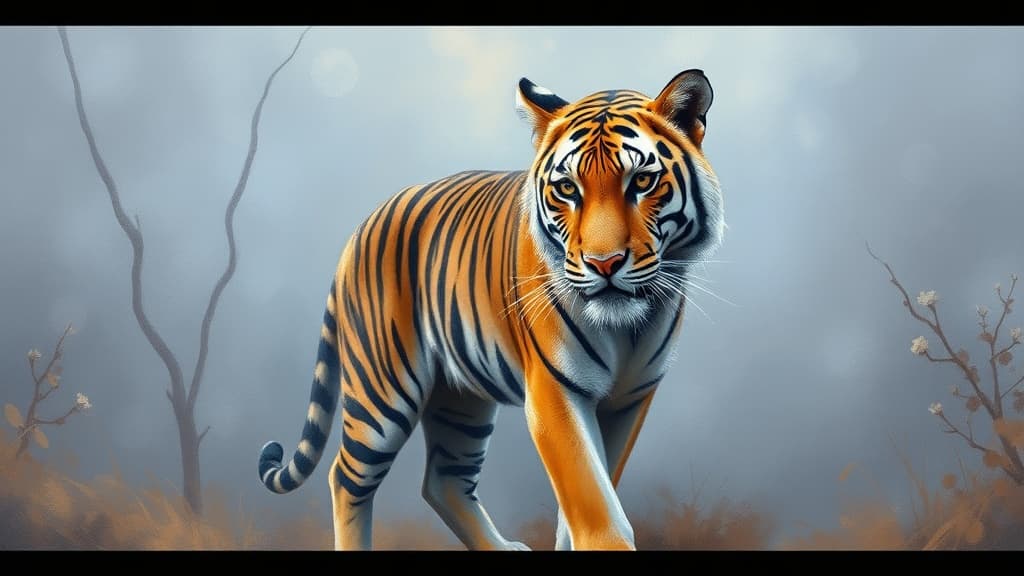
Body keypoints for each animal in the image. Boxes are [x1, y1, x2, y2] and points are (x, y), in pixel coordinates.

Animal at [257, 69, 724, 551]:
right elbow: (594, 502)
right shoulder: (554, 393)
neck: (626, 329)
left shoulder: (627, 401)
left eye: (642, 182)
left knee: (443, 480)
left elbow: (587, 498)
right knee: (347, 477)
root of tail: (360, 228)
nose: (604, 264)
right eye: (567, 189)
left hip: (461, 398)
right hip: (382, 389)